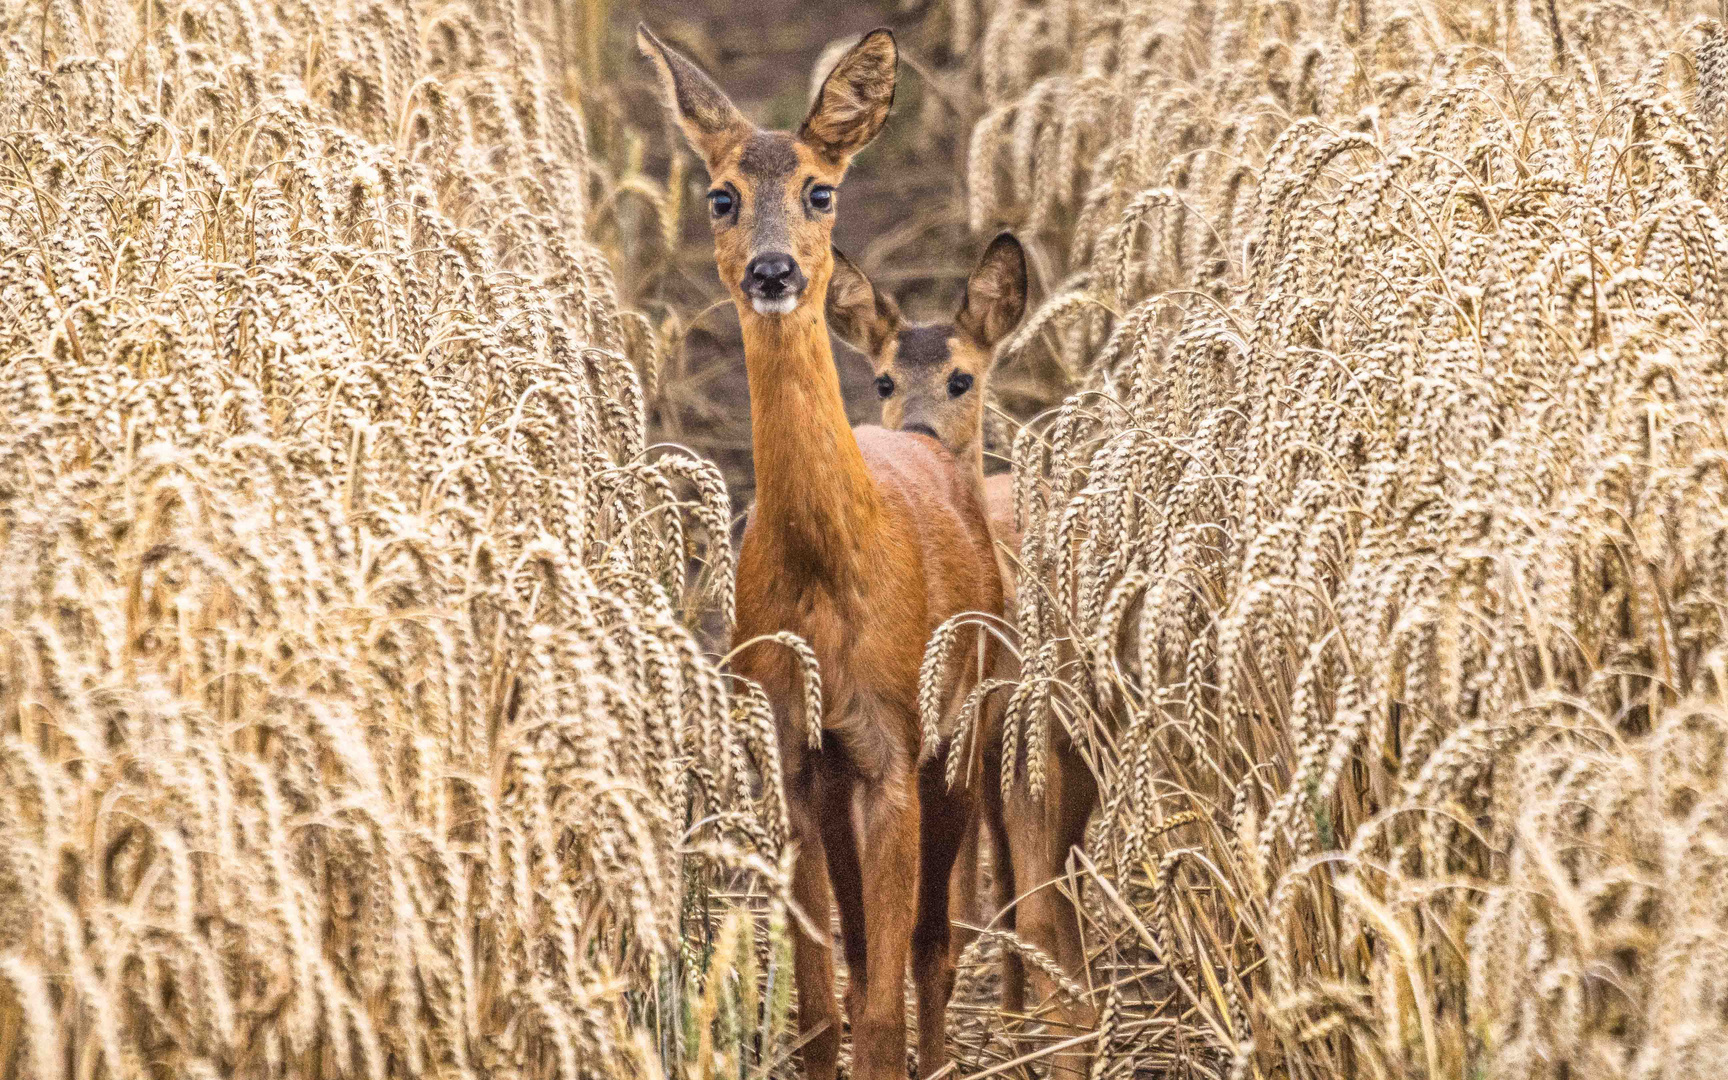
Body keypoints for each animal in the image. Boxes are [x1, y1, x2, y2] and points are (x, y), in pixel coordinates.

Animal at [642, 25, 1009, 1078]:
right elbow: (815, 1005)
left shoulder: (895, 739)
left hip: (969, 724)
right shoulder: (795, 748)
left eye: (820, 190)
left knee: (935, 941)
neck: (832, 569)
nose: (773, 273)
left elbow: (881, 1004)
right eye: (721, 194)